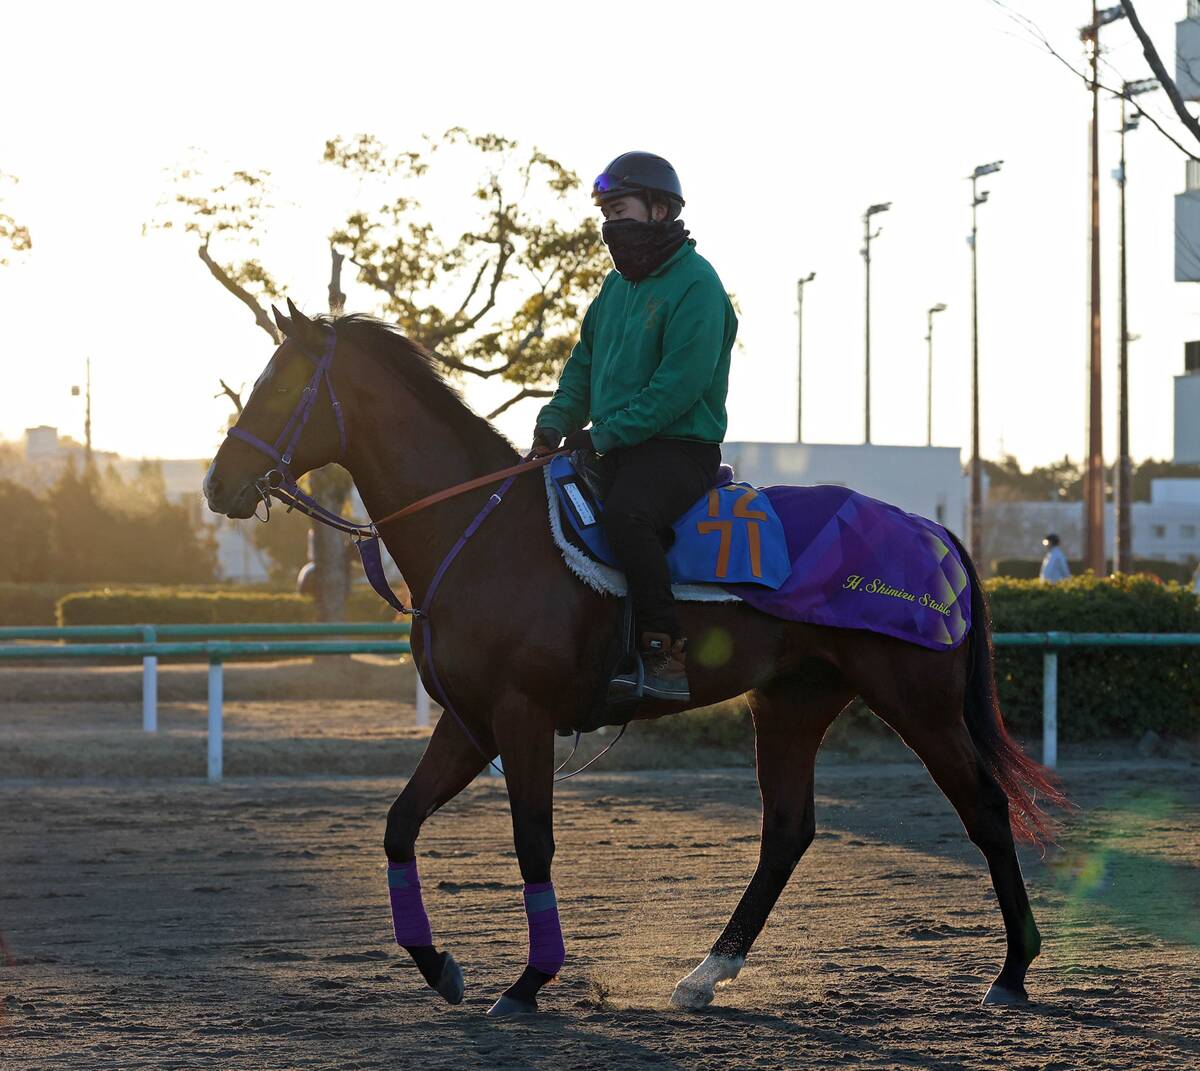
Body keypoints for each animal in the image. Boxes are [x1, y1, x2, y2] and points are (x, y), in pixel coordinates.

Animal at [203, 302, 1064, 1017]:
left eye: (279, 388)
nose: (217, 483)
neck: (483, 532)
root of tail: (935, 530)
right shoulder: (470, 720)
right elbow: (399, 823)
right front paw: (438, 964)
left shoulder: (523, 716)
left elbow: (533, 839)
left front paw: (529, 981)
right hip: (791, 701)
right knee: (786, 830)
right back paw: (705, 973)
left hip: (917, 701)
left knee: (986, 808)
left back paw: (1013, 970)